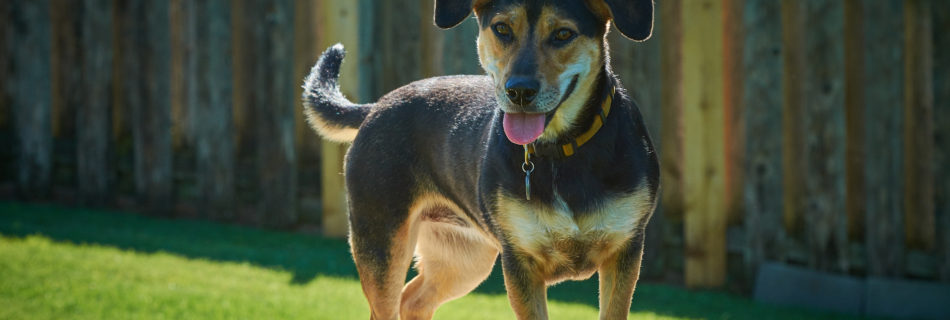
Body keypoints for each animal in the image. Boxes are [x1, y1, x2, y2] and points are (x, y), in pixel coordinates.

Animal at [306, 1, 660, 318]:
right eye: (502, 29)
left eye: (563, 34)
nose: (519, 91)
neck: (560, 150)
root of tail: (376, 106)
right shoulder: (520, 261)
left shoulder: (625, 251)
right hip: (381, 244)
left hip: (463, 258)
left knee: (414, 300)